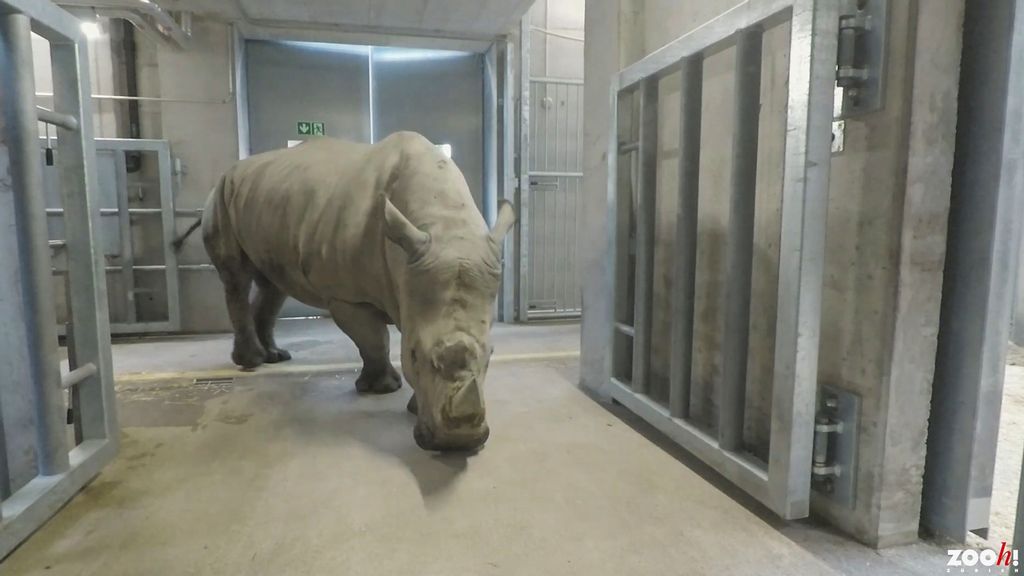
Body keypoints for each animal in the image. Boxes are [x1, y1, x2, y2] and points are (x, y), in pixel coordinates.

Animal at [173, 132, 515, 451]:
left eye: (492, 355)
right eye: (413, 354)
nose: (458, 443)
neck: (443, 225)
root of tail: (230, 172)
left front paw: (414, 407)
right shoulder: (347, 295)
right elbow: (374, 340)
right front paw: (381, 389)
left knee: (273, 284)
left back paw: (275, 357)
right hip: (221, 196)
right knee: (237, 278)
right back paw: (252, 362)